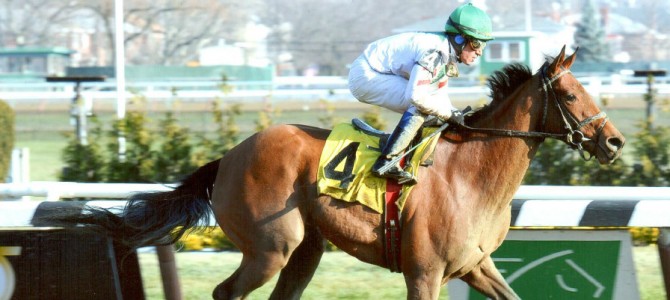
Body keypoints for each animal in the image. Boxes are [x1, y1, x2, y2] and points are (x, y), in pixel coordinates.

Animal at [61, 45, 624, 298]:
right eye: (570, 94)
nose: (614, 141)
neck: (473, 176)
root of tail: (230, 156)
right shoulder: (424, 274)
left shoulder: (475, 264)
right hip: (271, 247)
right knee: (227, 292)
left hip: (305, 250)